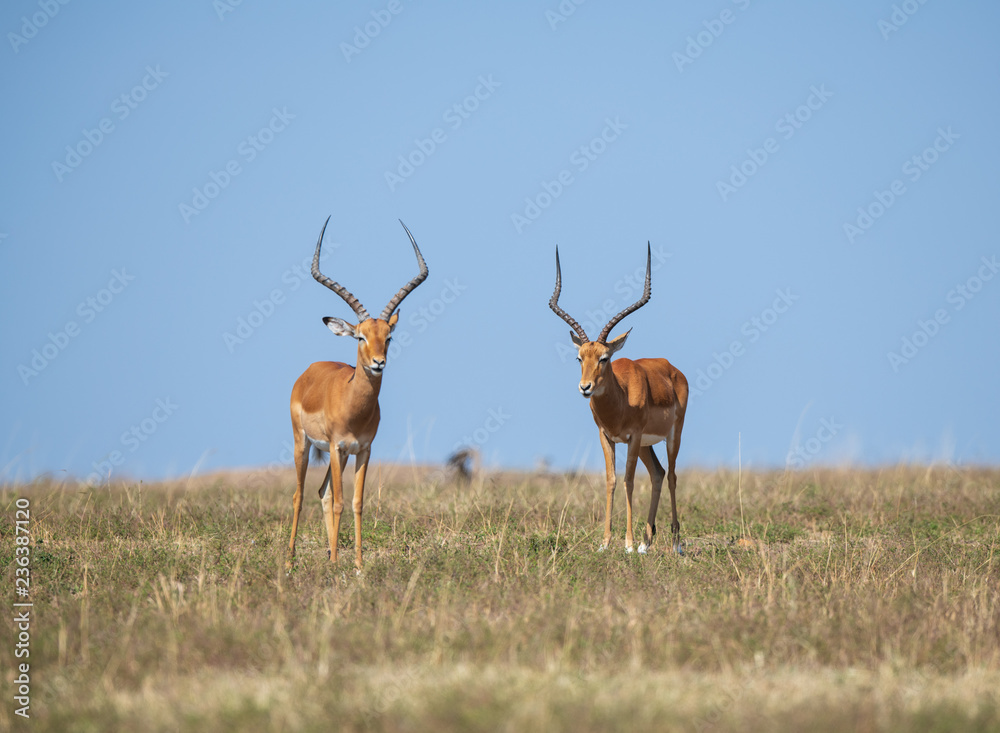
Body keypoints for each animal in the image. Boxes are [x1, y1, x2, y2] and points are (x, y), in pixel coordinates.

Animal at [288, 216, 428, 571]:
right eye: (360, 337)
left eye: (388, 336)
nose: (378, 363)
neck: (354, 406)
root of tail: (310, 370)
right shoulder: (339, 447)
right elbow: (339, 502)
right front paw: (340, 563)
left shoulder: (363, 449)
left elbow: (356, 502)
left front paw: (359, 565)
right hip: (303, 443)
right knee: (299, 494)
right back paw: (290, 559)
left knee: (322, 493)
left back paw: (328, 553)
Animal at [549, 244, 688, 553]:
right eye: (579, 358)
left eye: (604, 357)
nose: (585, 387)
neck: (621, 400)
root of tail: (672, 369)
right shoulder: (607, 437)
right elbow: (611, 480)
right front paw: (605, 542)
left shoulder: (633, 437)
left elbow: (628, 480)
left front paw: (627, 543)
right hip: (647, 444)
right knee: (658, 473)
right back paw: (647, 543)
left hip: (672, 435)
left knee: (672, 475)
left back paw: (675, 544)